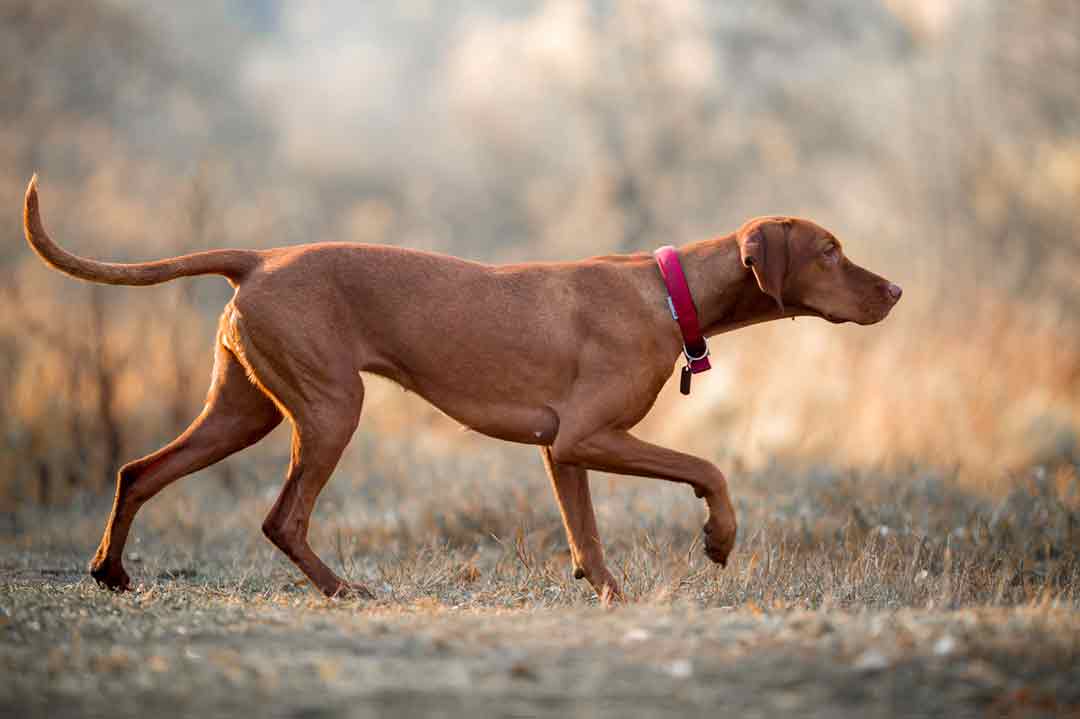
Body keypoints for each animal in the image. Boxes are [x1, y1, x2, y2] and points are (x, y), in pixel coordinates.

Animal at [23, 174, 902, 600]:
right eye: (831, 250)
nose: (895, 290)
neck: (667, 289)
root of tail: (259, 259)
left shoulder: (562, 450)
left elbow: (586, 537)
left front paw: (609, 594)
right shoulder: (590, 435)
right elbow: (708, 468)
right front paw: (718, 538)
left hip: (243, 412)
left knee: (139, 471)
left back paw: (109, 571)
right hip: (332, 409)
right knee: (281, 518)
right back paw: (345, 589)